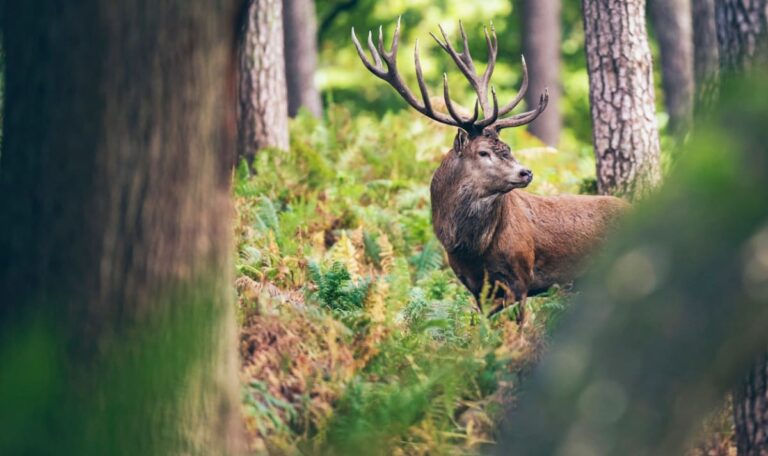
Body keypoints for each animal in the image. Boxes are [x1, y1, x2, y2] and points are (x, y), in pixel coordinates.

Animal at [352, 19, 629, 322]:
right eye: (483, 152)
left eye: (507, 147)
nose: (526, 172)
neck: (473, 250)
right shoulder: (475, 286)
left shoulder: (520, 276)